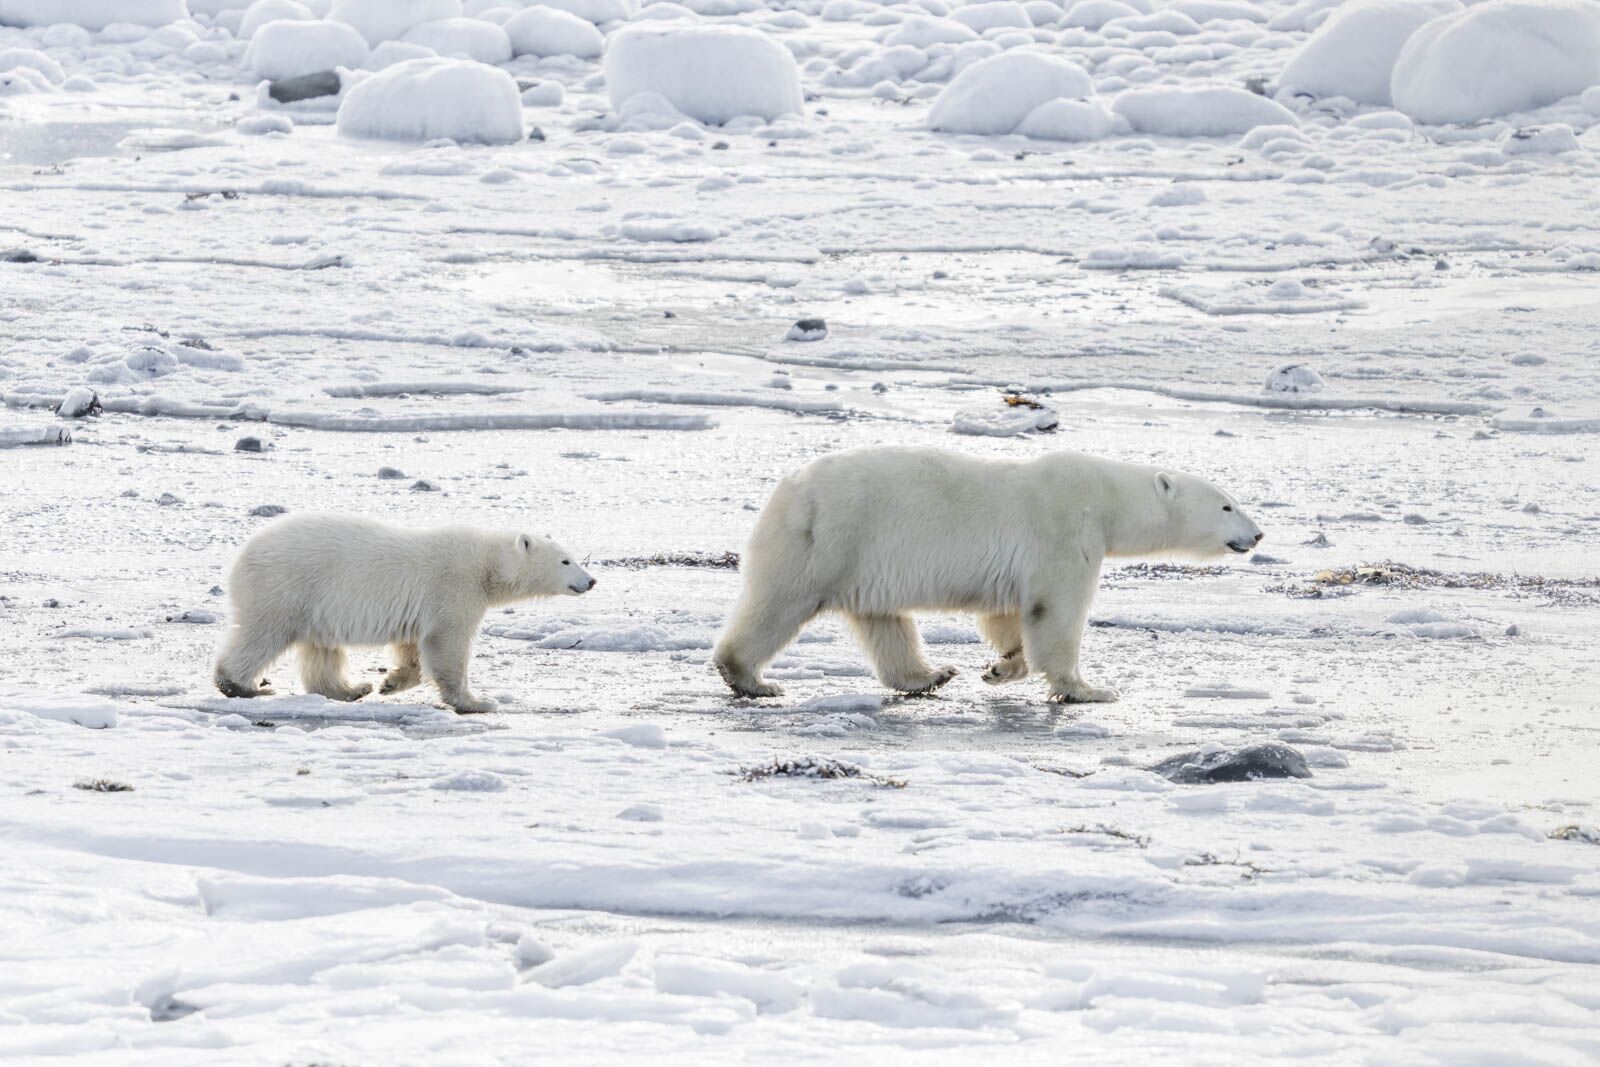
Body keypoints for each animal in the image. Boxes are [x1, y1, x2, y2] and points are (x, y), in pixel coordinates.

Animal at [209, 511, 592, 713]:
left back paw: (352, 689)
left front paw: (390, 683)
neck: (486, 565)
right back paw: (242, 685)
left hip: (314, 606)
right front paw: (477, 701)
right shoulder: (453, 588)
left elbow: (412, 650)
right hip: (286, 588)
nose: (591, 580)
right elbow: (448, 644)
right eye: (566, 560)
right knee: (264, 635)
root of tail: (242, 556)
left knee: (321, 651)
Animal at [713, 447, 1260, 703]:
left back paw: (929, 675)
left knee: (884, 621)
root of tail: (788, 488)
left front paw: (1001, 667)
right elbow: (1056, 610)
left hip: (862, 558)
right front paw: (1088, 689)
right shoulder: (1063, 528)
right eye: (1227, 505)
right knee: (780, 604)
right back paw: (751, 679)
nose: (1257, 534)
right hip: (829, 540)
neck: (1107, 499)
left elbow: (1008, 614)